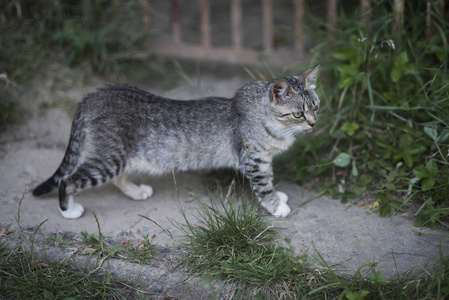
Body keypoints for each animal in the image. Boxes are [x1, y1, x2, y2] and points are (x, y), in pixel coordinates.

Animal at [32, 65, 318, 219]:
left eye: (316, 106)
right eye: (298, 113)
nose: (314, 124)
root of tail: (93, 95)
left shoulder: (264, 159)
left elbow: (269, 176)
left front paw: (278, 194)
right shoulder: (252, 159)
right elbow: (263, 185)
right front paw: (275, 206)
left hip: (123, 156)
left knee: (117, 178)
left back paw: (136, 191)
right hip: (109, 158)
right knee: (68, 180)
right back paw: (68, 210)